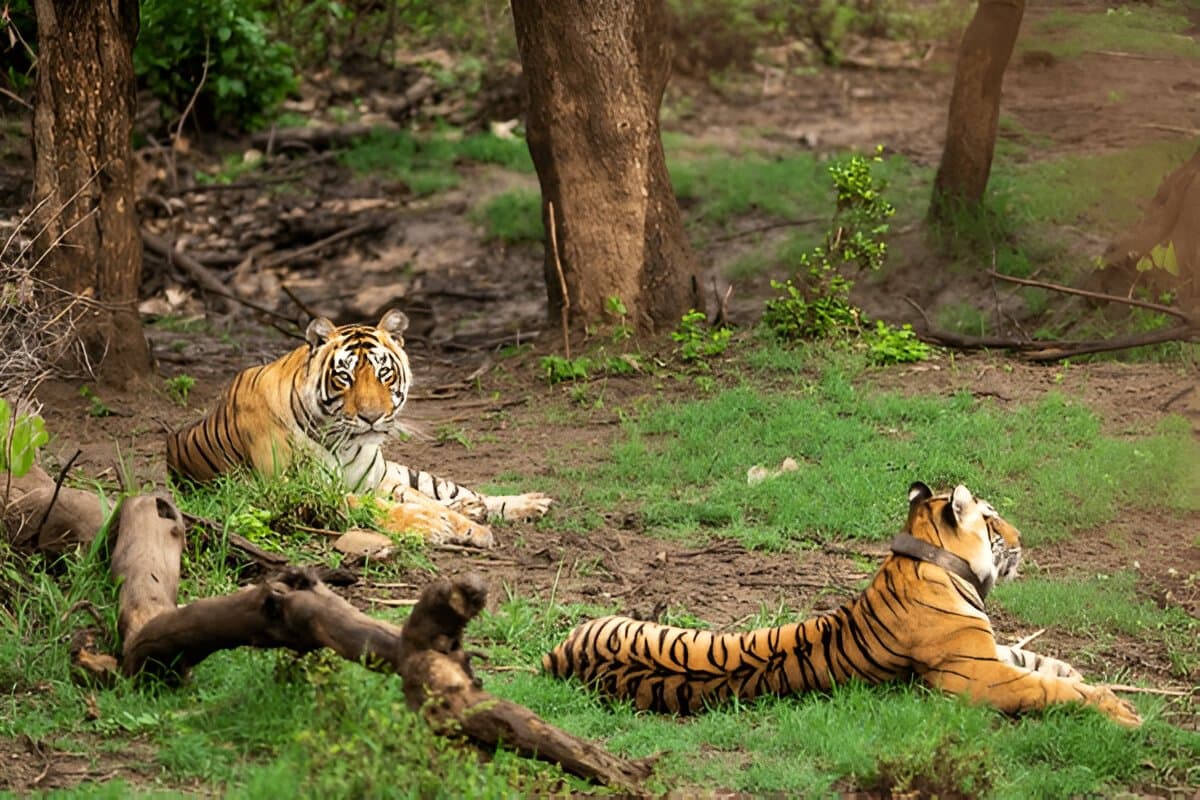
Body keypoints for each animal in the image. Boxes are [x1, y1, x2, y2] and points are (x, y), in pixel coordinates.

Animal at [165, 310, 552, 538]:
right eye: (345, 377)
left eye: (384, 373)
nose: (372, 416)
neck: (343, 441)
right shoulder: (295, 491)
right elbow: (375, 507)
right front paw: (431, 524)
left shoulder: (377, 480)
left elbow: (419, 500)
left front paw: (465, 525)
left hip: (405, 473)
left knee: (456, 492)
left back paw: (525, 503)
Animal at [543, 482, 1141, 727]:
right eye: (993, 519)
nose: (1022, 538)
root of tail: (558, 657)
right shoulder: (977, 676)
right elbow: (1047, 687)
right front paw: (1121, 712)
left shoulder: (987, 651)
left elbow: (1041, 661)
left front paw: (1088, 677)